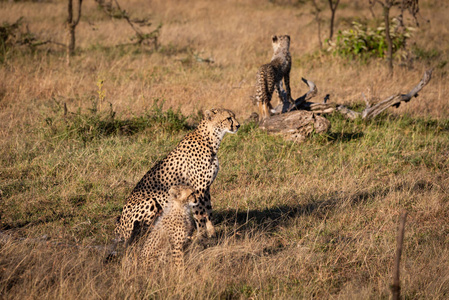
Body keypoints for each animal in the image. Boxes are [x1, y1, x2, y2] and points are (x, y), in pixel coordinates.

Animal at [115, 109, 240, 247]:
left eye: (233, 117)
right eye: (228, 118)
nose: (238, 125)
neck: (211, 139)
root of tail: (119, 227)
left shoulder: (206, 188)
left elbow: (208, 211)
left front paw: (212, 234)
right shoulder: (198, 189)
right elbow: (200, 214)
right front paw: (201, 238)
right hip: (150, 201)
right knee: (142, 232)